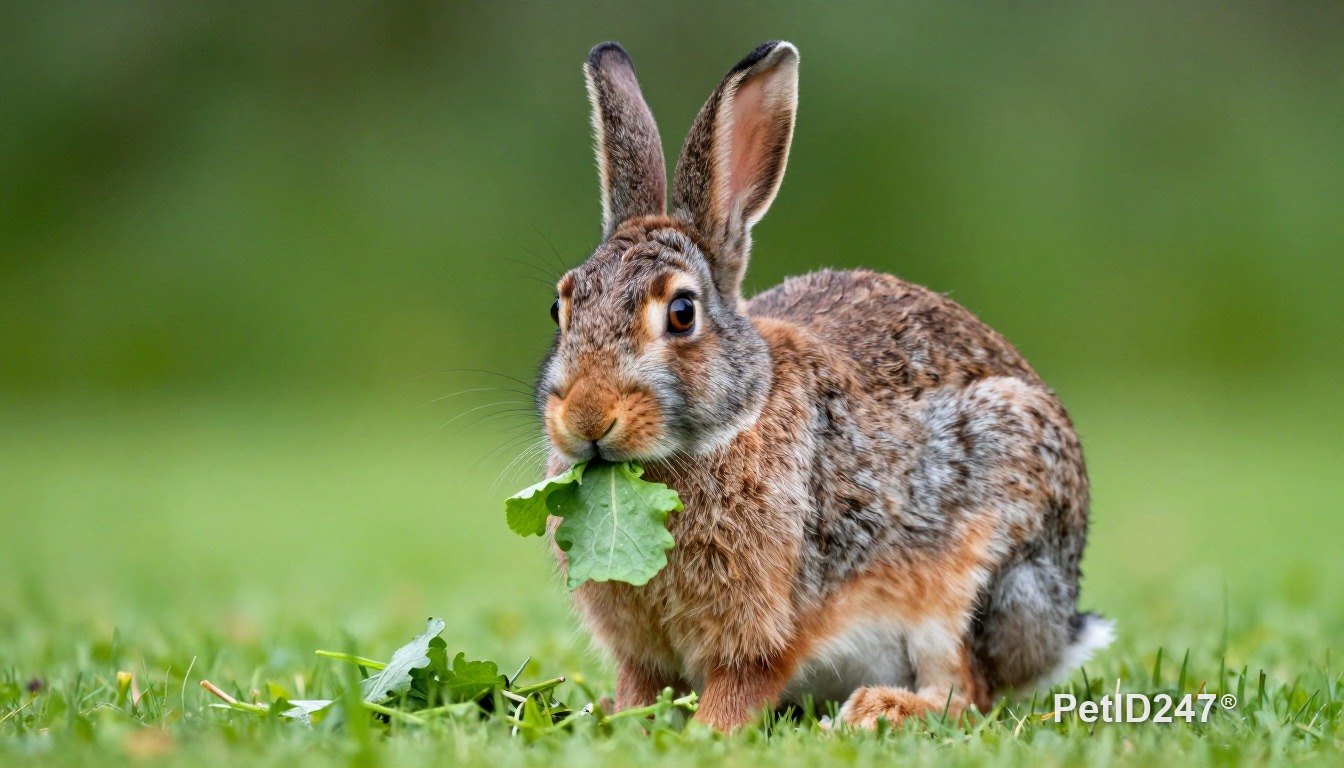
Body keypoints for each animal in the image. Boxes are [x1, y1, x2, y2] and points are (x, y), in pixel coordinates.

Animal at [533, 40, 1113, 731]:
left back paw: (877, 711)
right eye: (559, 308)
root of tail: (1059, 628)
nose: (587, 416)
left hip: (978, 574)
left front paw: (707, 734)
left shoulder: (764, 630)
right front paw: (619, 716)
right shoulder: (641, 651)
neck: (736, 418)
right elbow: (640, 688)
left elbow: (742, 684)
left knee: (967, 693)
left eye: (682, 313)